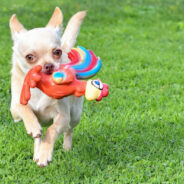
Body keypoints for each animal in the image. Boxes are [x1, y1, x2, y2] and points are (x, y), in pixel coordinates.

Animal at [10, 7, 86, 167]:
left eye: (57, 52)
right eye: (29, 57)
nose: (48, 65)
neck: (40, 88)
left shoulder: (63, 117)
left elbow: (51, 130)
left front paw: (45, 155)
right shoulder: (14, 111)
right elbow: (23, 107)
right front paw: (33, 127)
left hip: (75, 114)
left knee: (69, 130)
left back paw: (66, 147)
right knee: (38, 137)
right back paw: (37, 151)